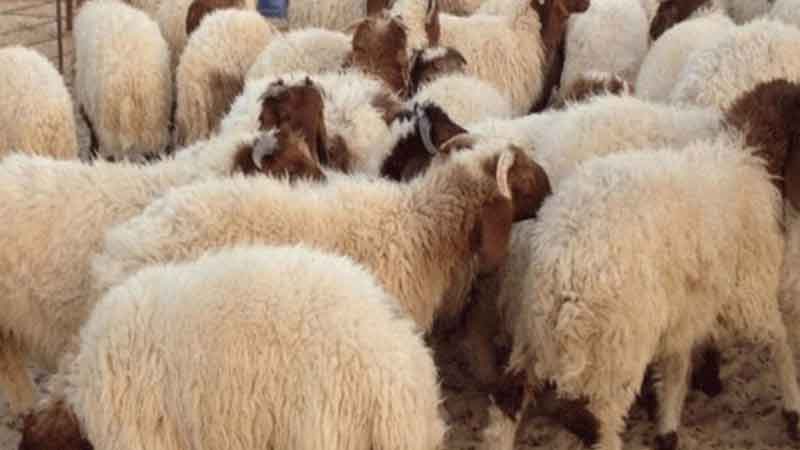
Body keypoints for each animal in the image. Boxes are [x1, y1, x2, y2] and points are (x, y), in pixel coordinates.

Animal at [73, 0, 172, 162]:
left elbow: (91, 130)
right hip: (154, 124)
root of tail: (133, 80)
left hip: (110, 129)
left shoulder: (85, 98)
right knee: (152, 153)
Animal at [480, 79, 800, 450]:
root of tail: (561, 268)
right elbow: (778, 341)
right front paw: (793, 408)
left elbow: (677, 366)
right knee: (600, 422)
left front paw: (668, 425)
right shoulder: (747, 292)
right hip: (614, 351)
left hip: (534, 334)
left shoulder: (687, 304)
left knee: (508, 400)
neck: (746, 153)